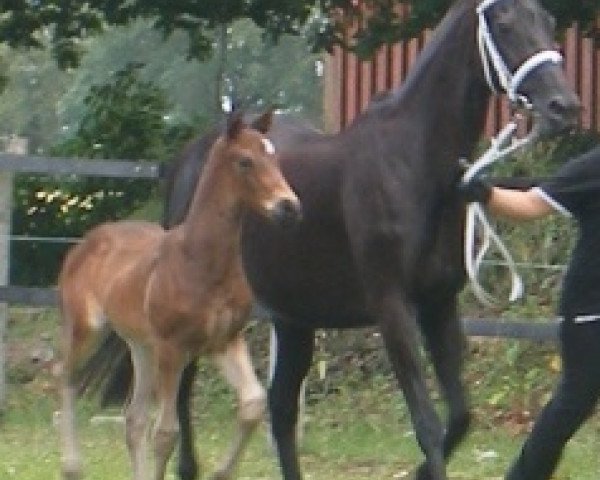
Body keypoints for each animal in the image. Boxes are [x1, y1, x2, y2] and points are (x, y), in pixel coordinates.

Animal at [58, 111, 302, 480]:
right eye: (245, 161)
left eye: (274, 157)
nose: (289, 207)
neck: (200, 261)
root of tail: (88, 241)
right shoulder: (172, 348)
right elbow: (166, 433)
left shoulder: (224, 341)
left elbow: (252, 403)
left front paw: (221, 472)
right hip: (88, 329)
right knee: (66, 378)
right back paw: (72, 466)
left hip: (141, 345)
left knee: (133, 418)